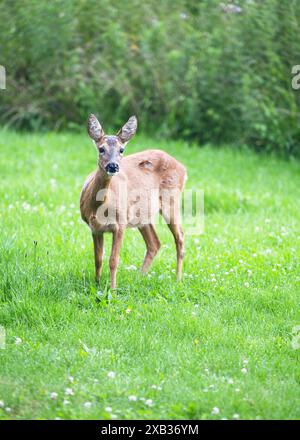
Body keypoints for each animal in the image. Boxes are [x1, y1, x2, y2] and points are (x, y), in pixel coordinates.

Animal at [81, 115, 186, 290]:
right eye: (101, 149)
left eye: (121, 150)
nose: (113, 166)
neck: (98, 207)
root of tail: (183, 168)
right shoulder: (94, 228)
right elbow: (98, 259)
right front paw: (96, 284)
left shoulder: (120, 223)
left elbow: (113, 260)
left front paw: (113, 289)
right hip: (143, 215)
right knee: (154, 243)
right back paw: (139, 277)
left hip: (171, 201)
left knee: (180, 237)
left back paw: (177, 280)